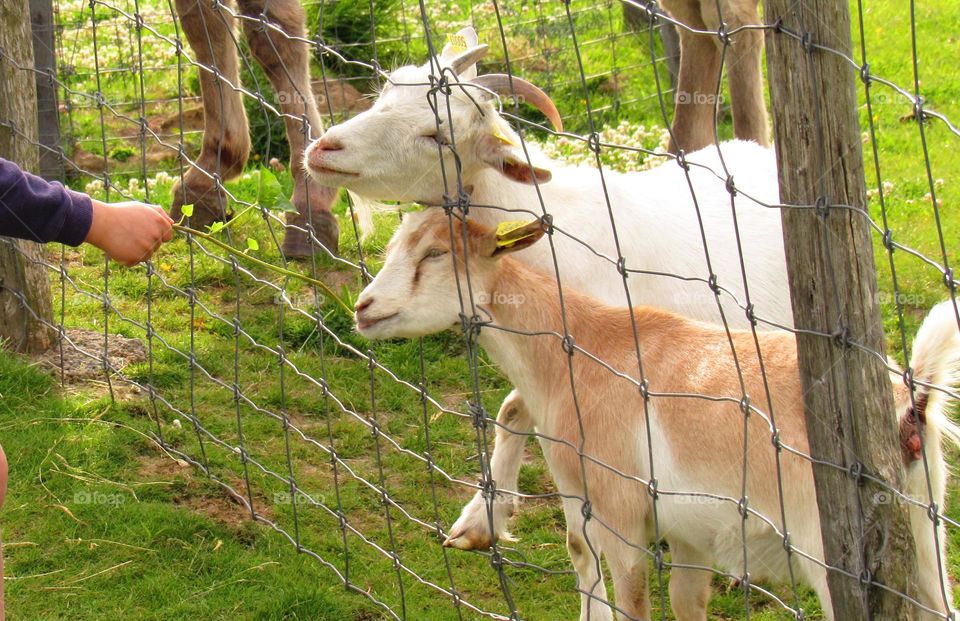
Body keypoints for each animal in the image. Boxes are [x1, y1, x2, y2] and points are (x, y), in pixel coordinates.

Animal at [354, 208, 960, 620]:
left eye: (436, 254)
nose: (363, 307)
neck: (581, 350)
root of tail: (910, 401)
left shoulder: (616, 509)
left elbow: (620, 587)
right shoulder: (687, 536)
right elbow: (679, 600)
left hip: (831, 548)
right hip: (924, 530)